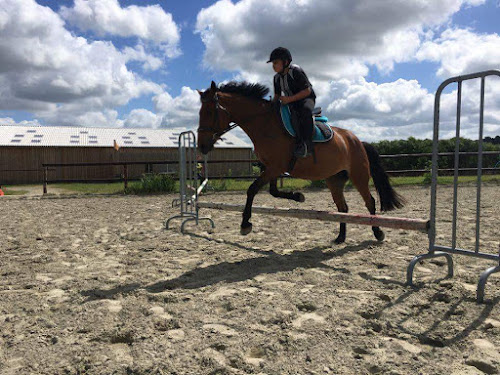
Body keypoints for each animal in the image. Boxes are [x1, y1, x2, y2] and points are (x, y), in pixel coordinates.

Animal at [197, 81, 404, 244]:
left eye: (209, 112)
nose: (202, 146)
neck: (264, 124)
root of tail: (357, 140)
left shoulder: (275, 168)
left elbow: (252, 189)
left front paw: (245, 224)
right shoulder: (272, 168)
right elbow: (273, 191)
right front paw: (298, 196)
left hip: (359, 176)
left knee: (370, 202)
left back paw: (378, 233)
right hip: (334, 180)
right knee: (343, 208)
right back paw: (340, 237)